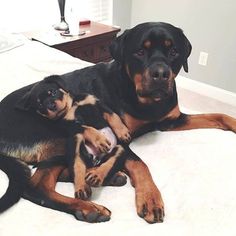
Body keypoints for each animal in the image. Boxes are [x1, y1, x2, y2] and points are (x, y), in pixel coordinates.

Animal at [0, 22, 235, 223]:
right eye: (139, 52)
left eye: (174, 52)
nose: (161, 74)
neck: (146, 100)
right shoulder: (122, 138)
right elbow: (140, 163)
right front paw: (150, 197)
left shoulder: (172, 120)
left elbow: (217, 115)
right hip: (56, 135)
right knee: (38, 186)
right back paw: (88, 207)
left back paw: (107, 179)